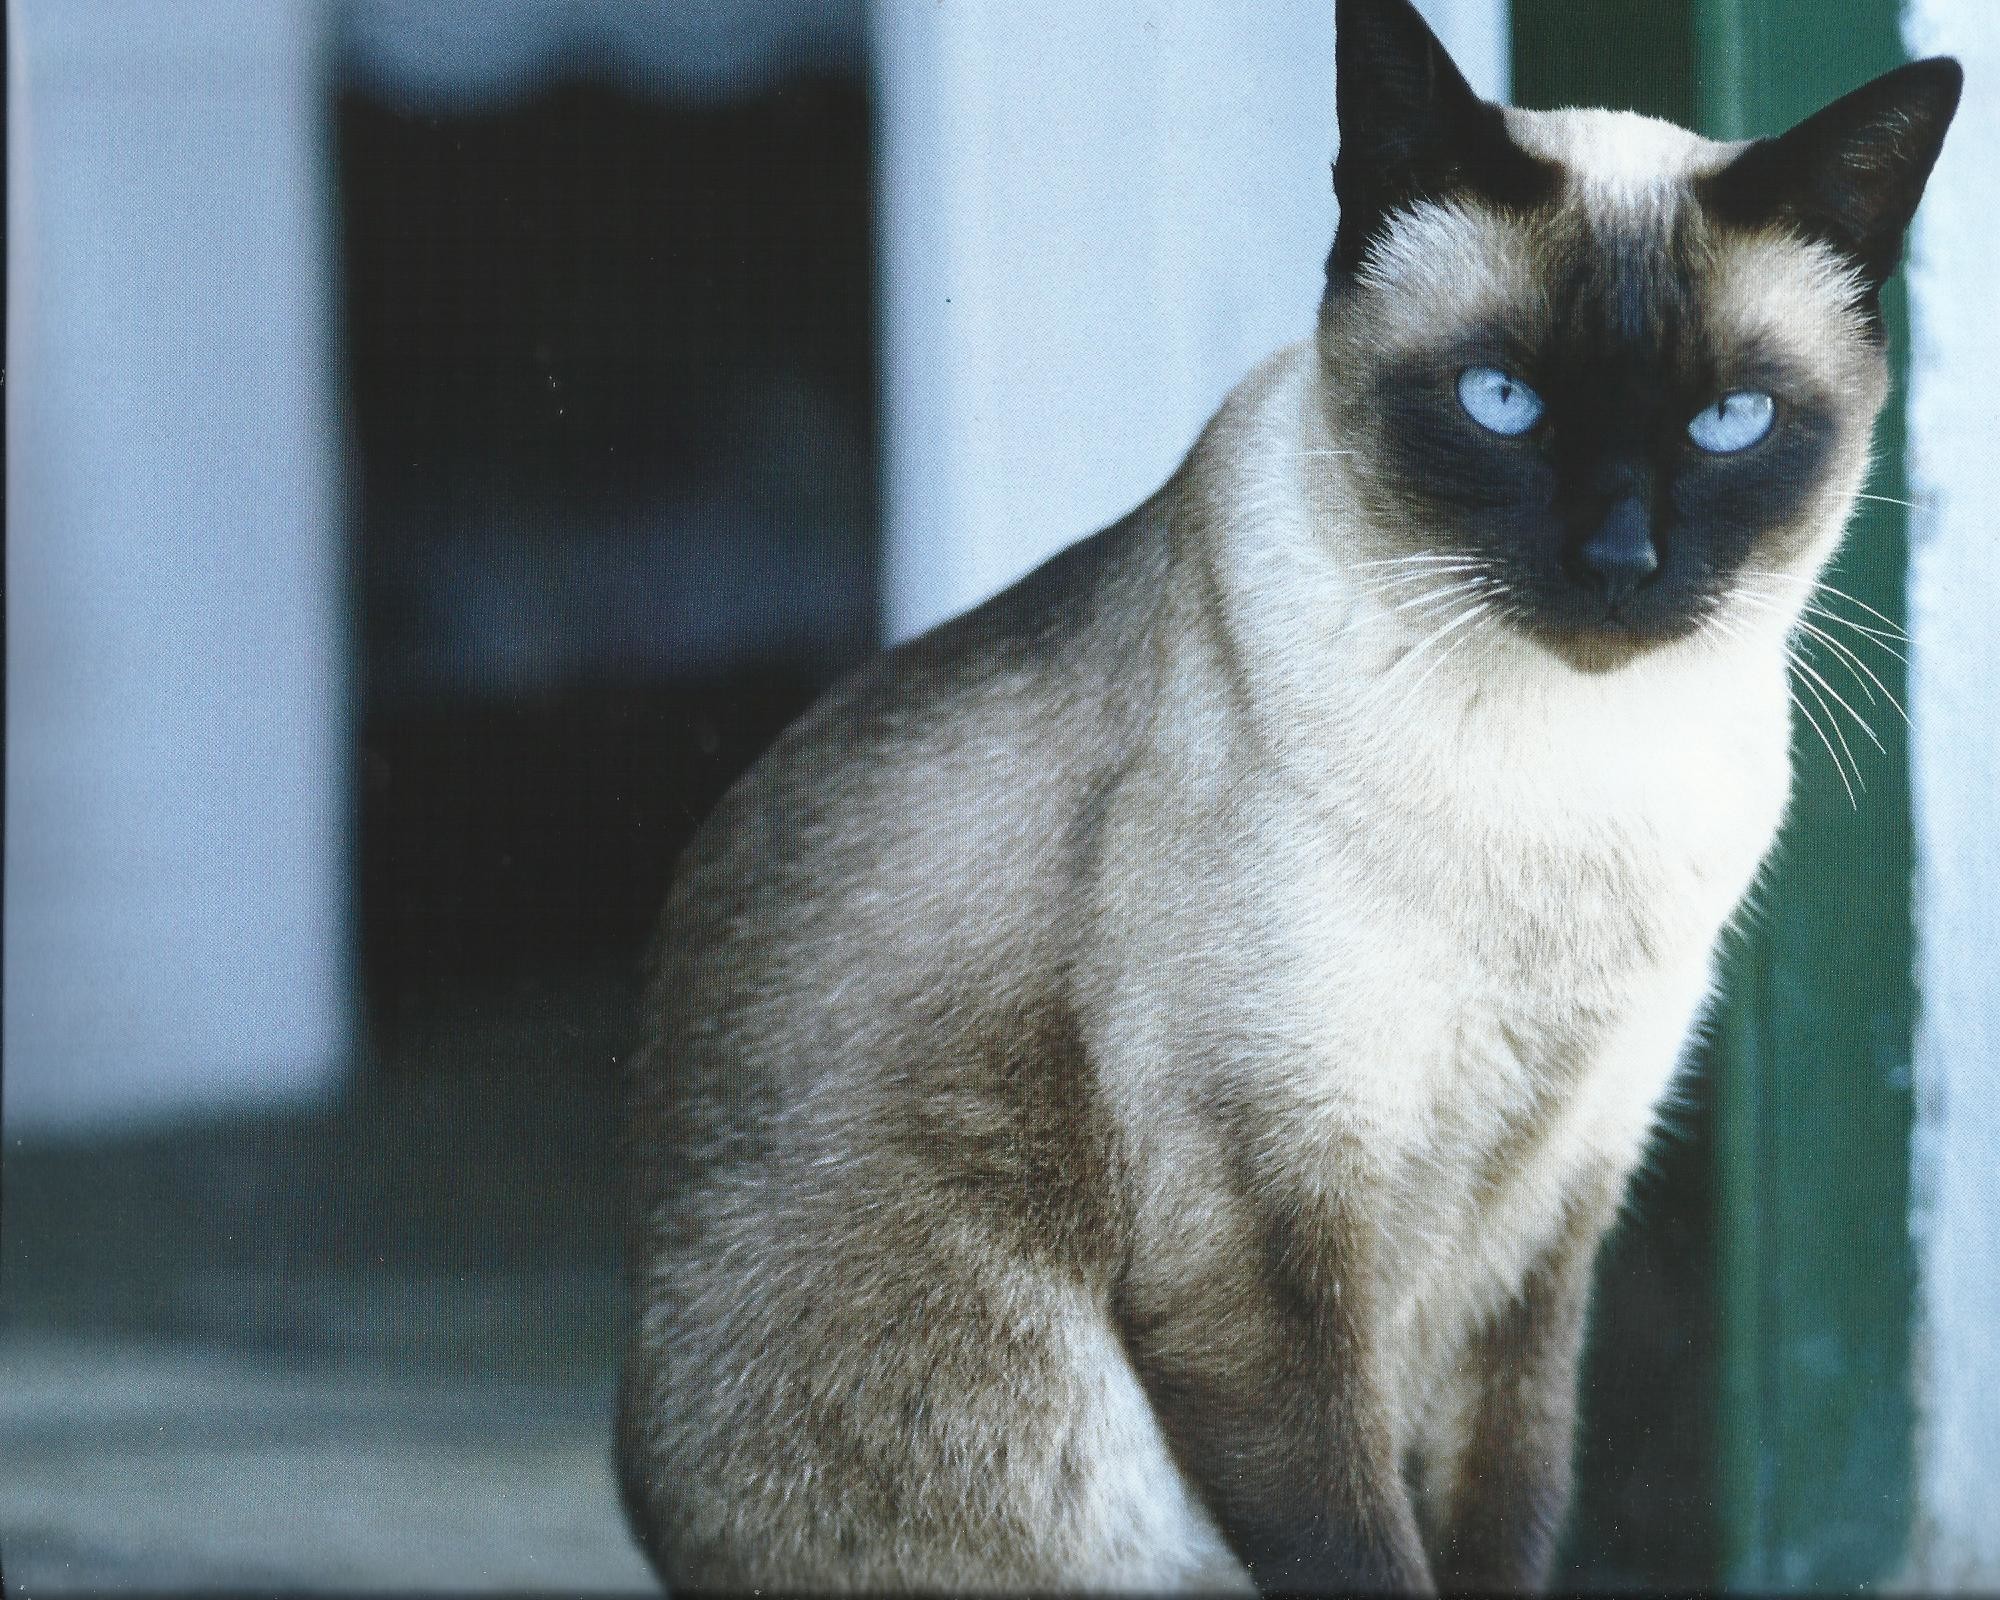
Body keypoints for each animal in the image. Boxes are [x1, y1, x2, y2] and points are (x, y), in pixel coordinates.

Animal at [608, 6, 1952, 1592]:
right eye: (1503, 404)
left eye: (1732, 423)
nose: (1618, 559)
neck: (1573, 796)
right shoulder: (1260, 1235)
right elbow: (1355, 1541)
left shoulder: (1543, 1227)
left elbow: (1508, 1513)